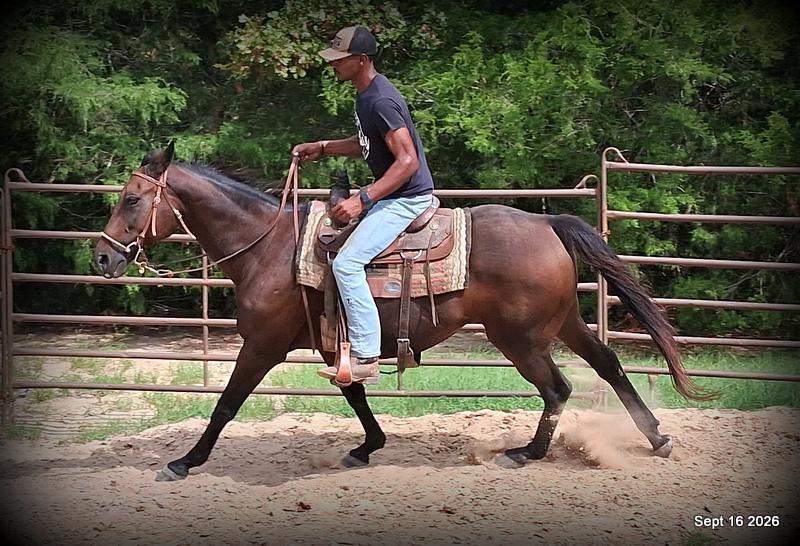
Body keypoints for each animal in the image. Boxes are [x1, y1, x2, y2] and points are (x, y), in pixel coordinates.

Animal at [94, 143, 711, 480]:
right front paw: (368, 447)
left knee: (557, 388)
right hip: (561, 324)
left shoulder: (263, 345)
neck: (268, 248)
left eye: (131, 199)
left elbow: (225, 405)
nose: (102, 256)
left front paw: (185, 461)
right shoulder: (336, 343)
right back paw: (656, 438)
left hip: (521, 338)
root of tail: (545, 222)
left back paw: (525, 453)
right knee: (607, 364)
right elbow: (354, 393)